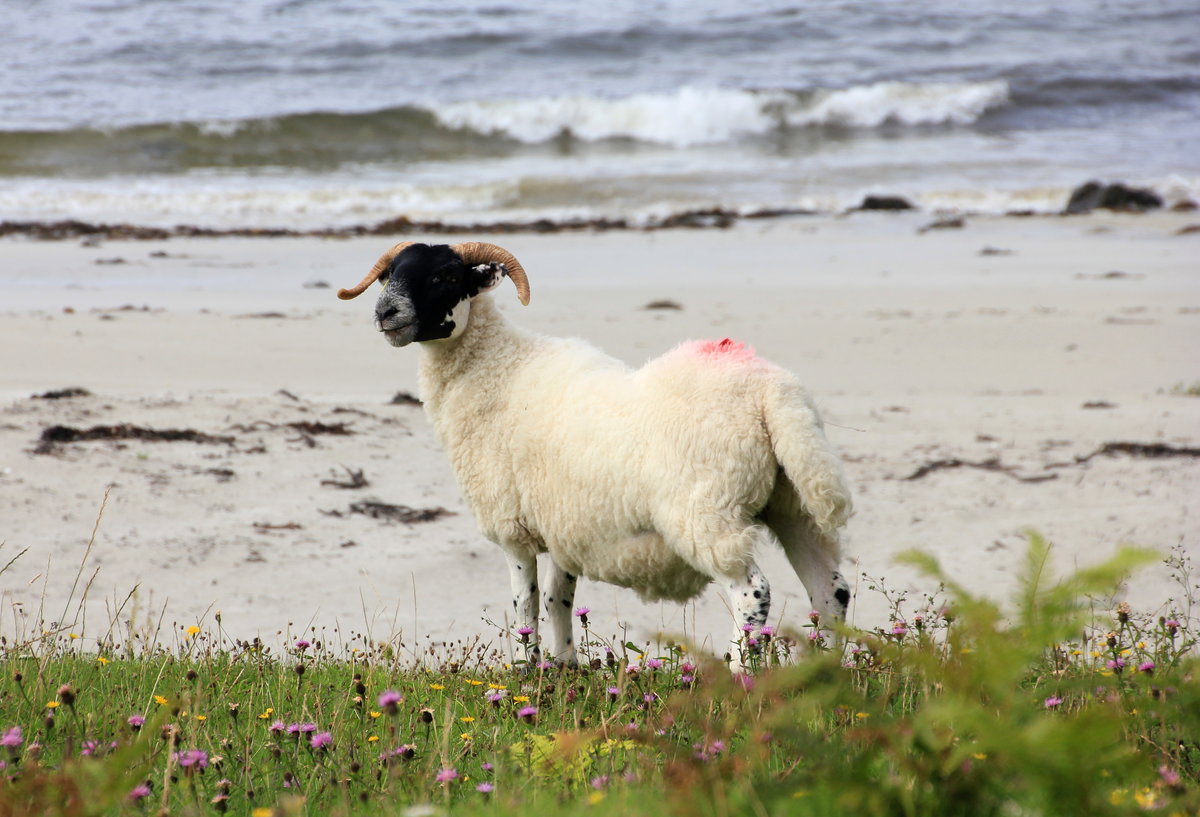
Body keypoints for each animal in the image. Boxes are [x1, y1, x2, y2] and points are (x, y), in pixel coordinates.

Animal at [338, 238, 854, 667]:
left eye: (445, 276)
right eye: (390, 274)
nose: (386, 312)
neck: (497, 368)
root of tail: (770, 392)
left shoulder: (512, 527)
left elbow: (524, 605)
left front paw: (526, 673)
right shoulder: (565, 524)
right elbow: (557, 599)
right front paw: (566, 666)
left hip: (708, 512)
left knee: (753, 593)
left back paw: (741, 676)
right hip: (795, 502)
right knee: (831, 591)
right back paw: (825, 676)